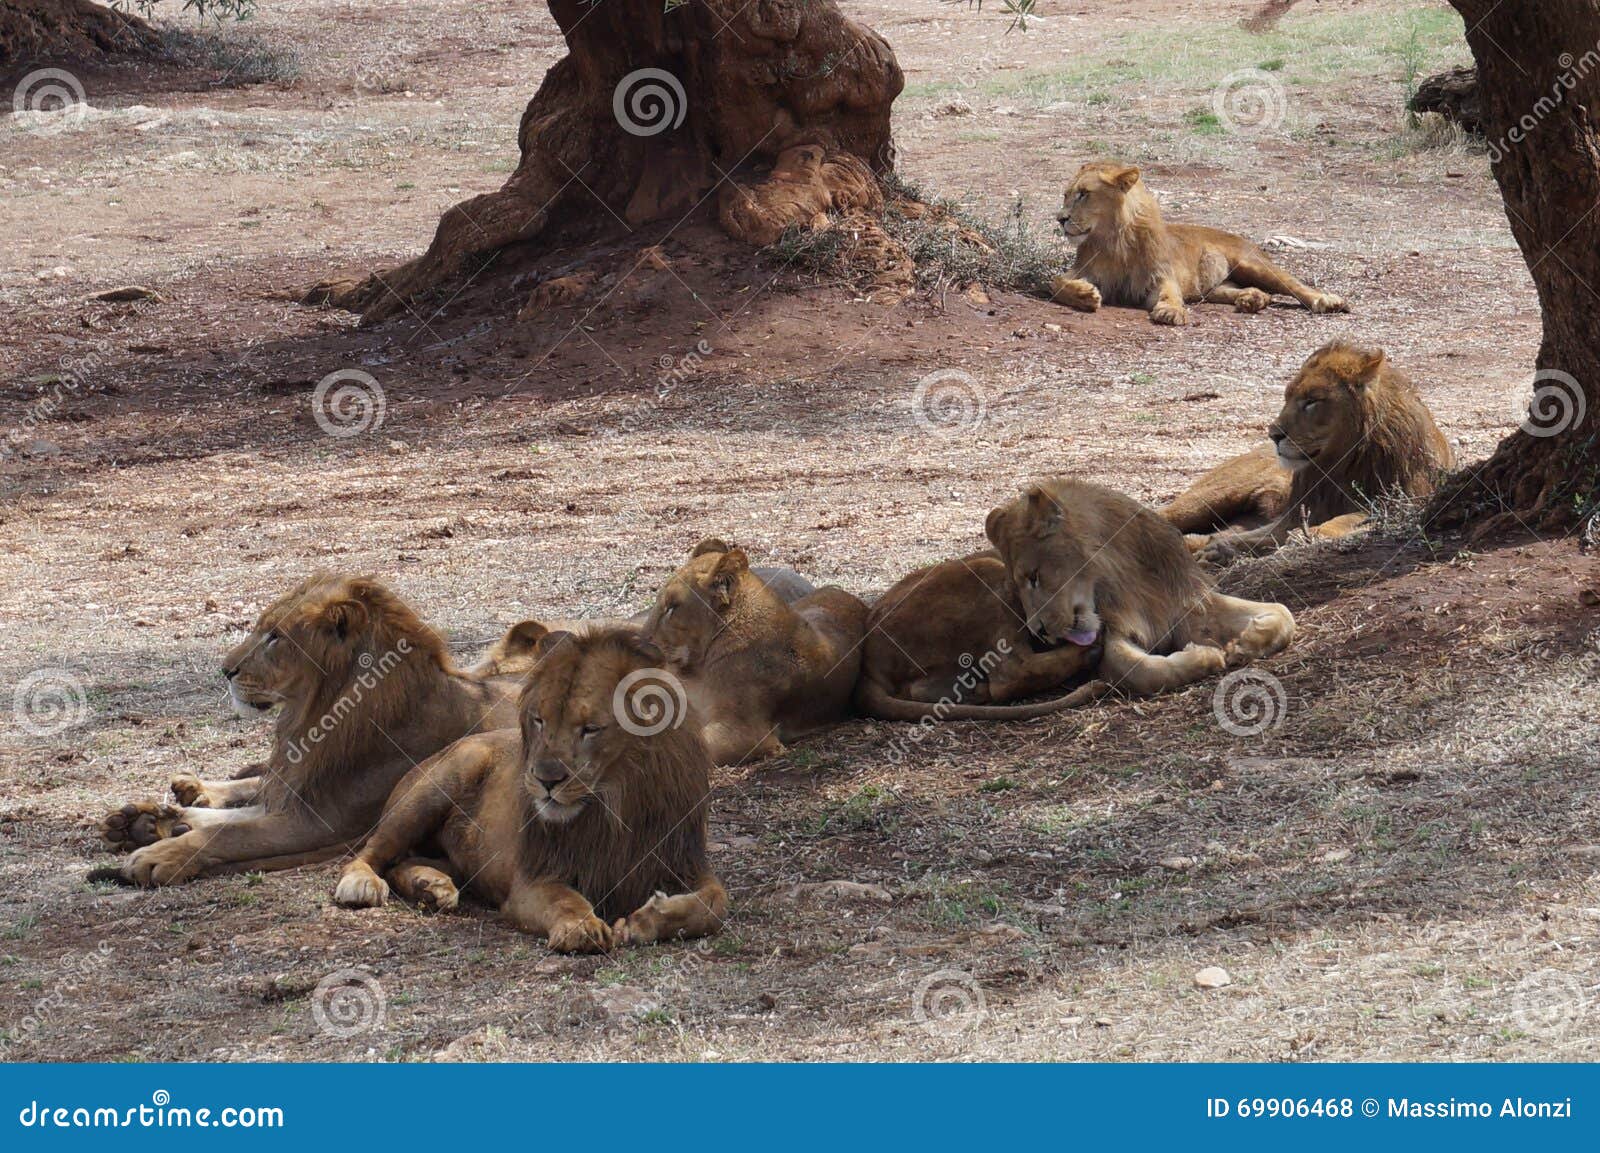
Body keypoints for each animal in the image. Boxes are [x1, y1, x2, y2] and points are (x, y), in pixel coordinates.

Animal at [96, 573, 525, 886]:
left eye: (276, 637)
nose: (225, 670)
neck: (314, 717)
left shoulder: (319, 821)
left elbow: (231, 832)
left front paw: (158, 854)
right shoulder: (301, 796)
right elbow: (240, 814)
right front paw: (158, 824)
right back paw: (161, 809)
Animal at [334, 625, 725, 954]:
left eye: (591, 728)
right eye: (539, 720)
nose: (546, 779)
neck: (617, 804)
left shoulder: (683, 860)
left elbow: (714, 903)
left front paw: (645, 920)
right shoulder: (531, 881)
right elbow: (564, 899)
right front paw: (581, 926)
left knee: (405, 862)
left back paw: (431, 886)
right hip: (443, 779)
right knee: (372, 852)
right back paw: (362, 884)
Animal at [985, 479, 1296, 698]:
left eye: (1034, 576)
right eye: (1016, 589)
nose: (1039, 632)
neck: (1123, 579)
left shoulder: (1189, 605)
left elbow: (1283, 612)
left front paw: (1245, 644)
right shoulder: (1117, 631)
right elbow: (1143, 671)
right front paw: (1205, 656)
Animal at [1049, 161, 1347, 326]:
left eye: (1084, 194)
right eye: (1065, 195)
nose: (1060, 219)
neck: (1113, 240)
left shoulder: (1160, 275)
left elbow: (1169, 293)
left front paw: (1170, 311)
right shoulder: (1085, 270)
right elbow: (1056, 282)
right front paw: (1085, 295)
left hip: (1252, 264)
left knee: (1294, 286)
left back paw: (1326, 301)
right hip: (1214, 287)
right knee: (1246, 290)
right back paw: (1253, 299)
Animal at [1175, 341, 1456, 565]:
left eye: (1312, 401)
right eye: (1287, 397)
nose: (1273, 434)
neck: (1338, 467)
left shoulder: (1409, 499)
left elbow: (1349, 518)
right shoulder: (1294, 512)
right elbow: (1262, 535)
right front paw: (1221, 550)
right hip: (1214, 496)